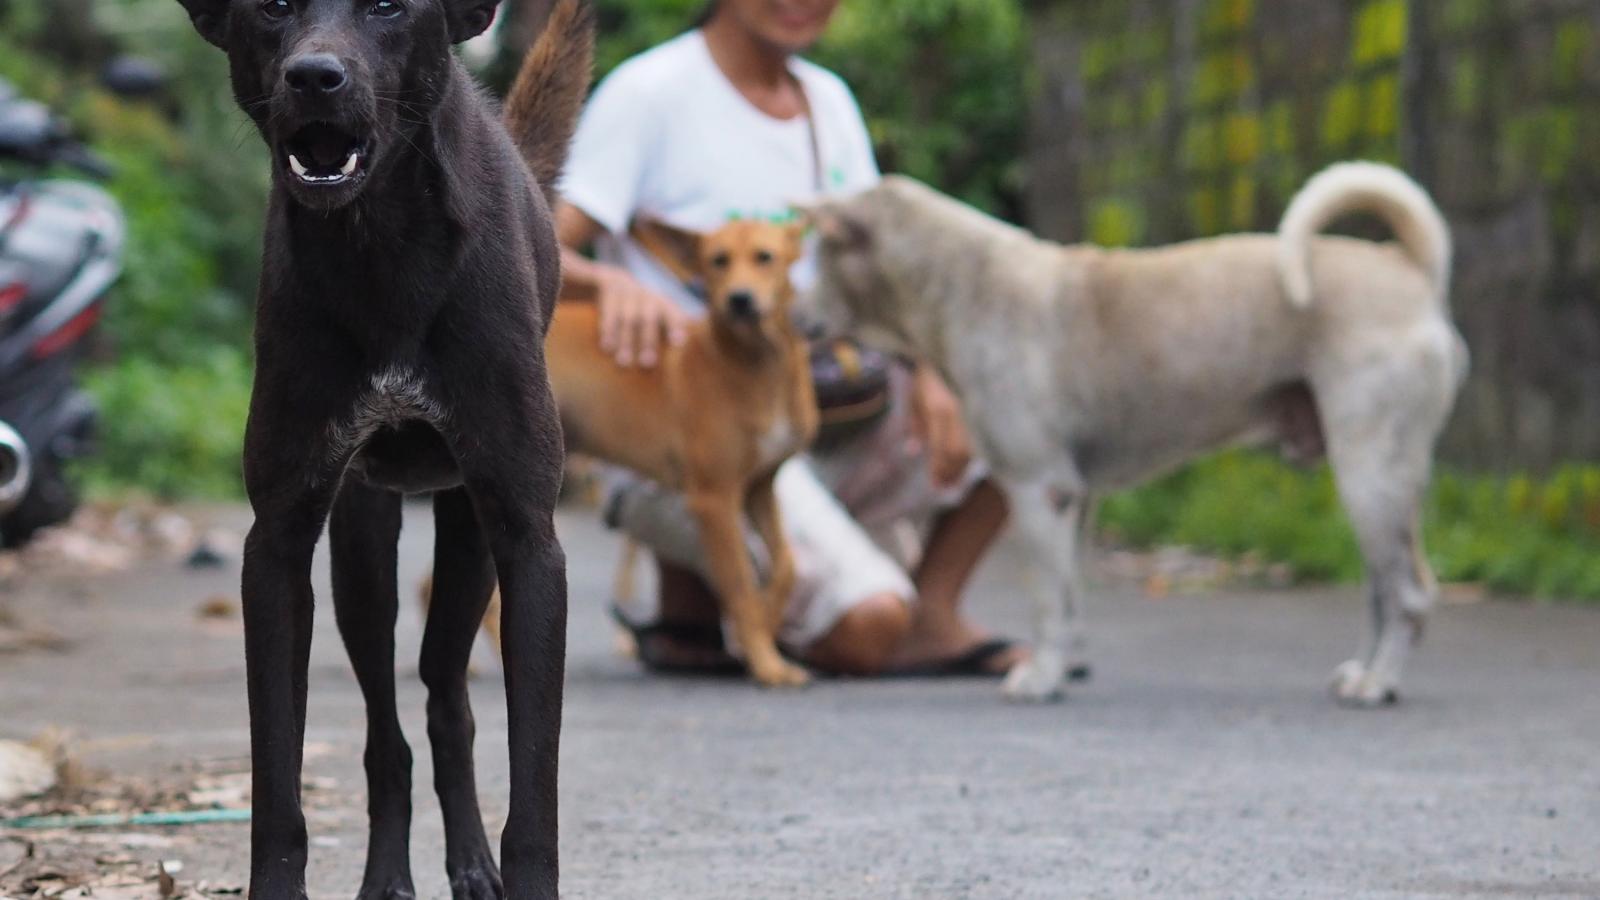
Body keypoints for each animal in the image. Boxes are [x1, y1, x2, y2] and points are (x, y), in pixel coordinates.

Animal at [170, 0, 595, 890]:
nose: (314, 76)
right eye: (272, 9)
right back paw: (387, 877)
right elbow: (277, 781)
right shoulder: (278, 545)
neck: (380, 248)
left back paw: (470, 866)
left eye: (390, 7)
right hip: (361, 551)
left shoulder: (527, 538)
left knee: (444, 694)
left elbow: (534, 785)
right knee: (386, 729)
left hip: (468, 545)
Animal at [425, 219, 819, 685]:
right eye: (717, 261)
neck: (755, 362)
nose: (740, 300)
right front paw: (765, 662)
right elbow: (740, 586)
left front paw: (769, 627)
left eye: (765, 257)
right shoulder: (714, 499)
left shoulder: (760, 488)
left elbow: (785, 567)